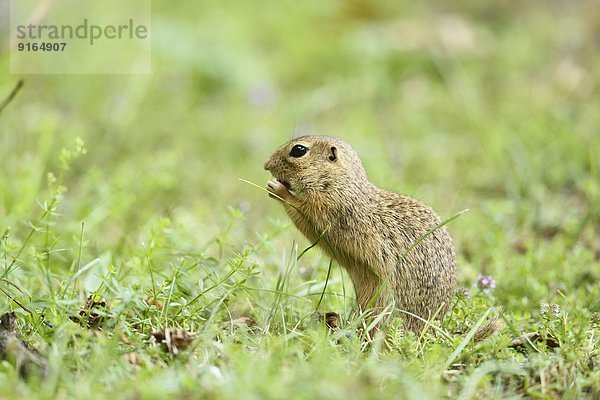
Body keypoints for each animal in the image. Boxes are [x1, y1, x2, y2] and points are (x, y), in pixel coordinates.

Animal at [264, 135, 458, 332]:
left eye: (299, 150)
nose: (266, 164)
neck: (341, 184)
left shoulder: (328, 211)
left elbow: (302, 214)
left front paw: (277, 189)